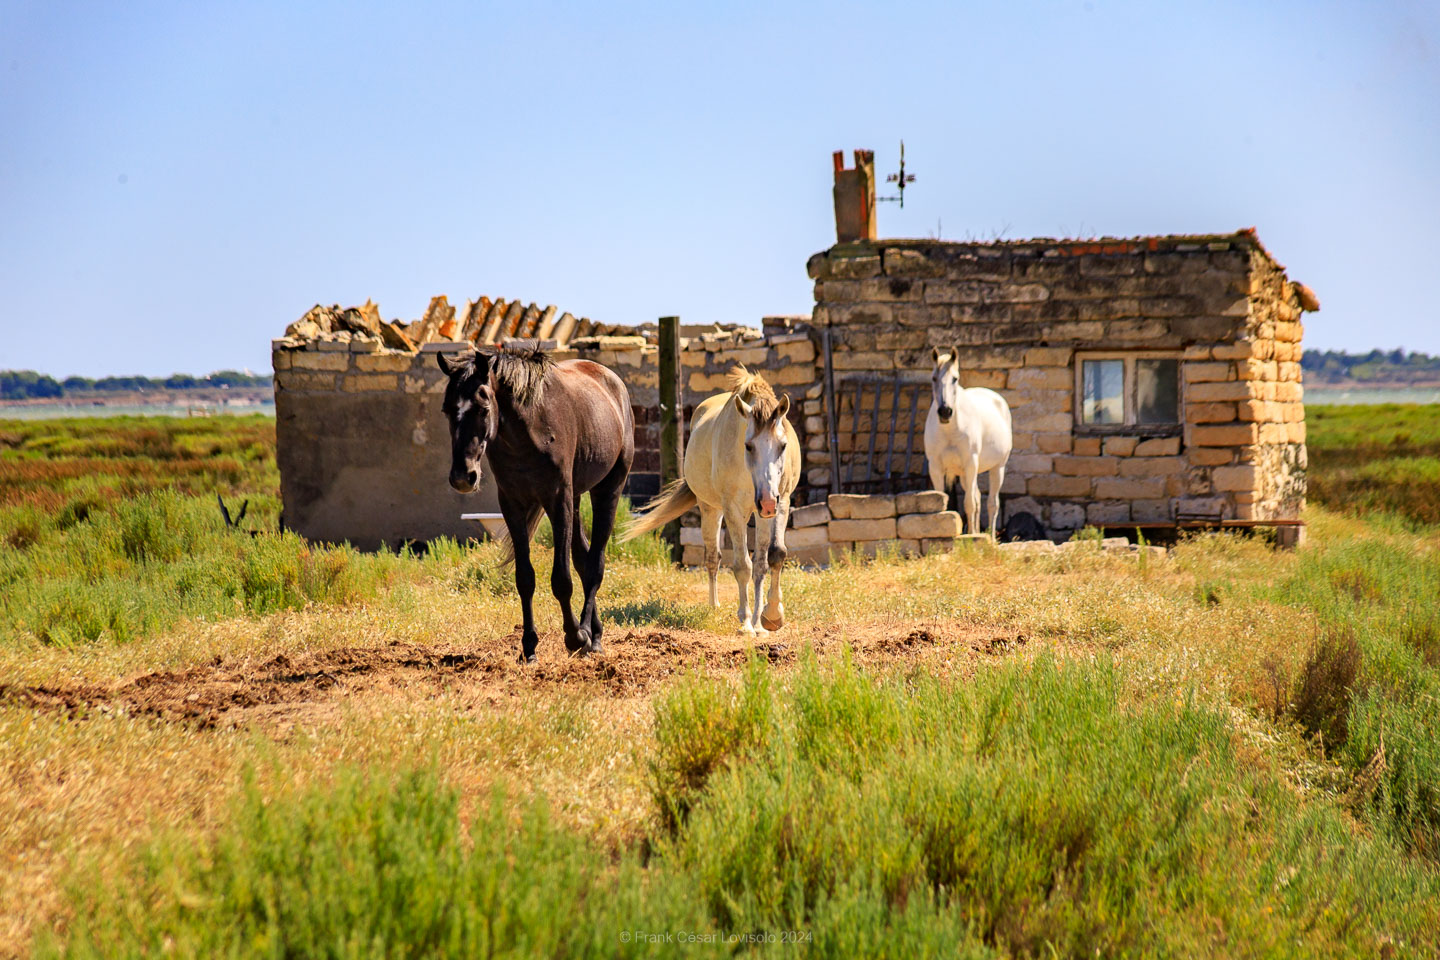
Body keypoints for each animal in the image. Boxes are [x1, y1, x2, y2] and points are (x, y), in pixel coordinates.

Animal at [437, 349, 636, 664]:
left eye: (483, 407)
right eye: (446, 409)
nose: (462, 477)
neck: (530, 431)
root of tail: (612, 382)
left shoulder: (558, 501)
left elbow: (561, 579)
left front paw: (574, 637)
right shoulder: (513, 506)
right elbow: (525, 578)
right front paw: (529, 647)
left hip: (607, 489)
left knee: (595, 563)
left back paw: (589, 638)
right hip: (576, 498)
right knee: (584, 560)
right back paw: (595, 633)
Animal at [619, 371, 800, 633]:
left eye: (783, 445)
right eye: (748, 446)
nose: (766, 501)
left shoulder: (780, 503)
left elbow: (771, 557)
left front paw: (768, 618)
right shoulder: (734, 510)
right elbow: (743, 565)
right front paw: (746, 622)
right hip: (711, 510)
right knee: (713, 558)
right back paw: (714, 607)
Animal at [921, 346, 1013, 541]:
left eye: (955, 379)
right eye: (933, 378)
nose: (945, 411)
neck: (950, 430)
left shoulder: (971, 463)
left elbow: (969, 503)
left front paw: (971, 539)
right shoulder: (936, 467)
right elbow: (942, 501)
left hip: (997, 468)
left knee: (992, 503)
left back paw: (991, 538)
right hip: (964, 473)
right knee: (977, 497)